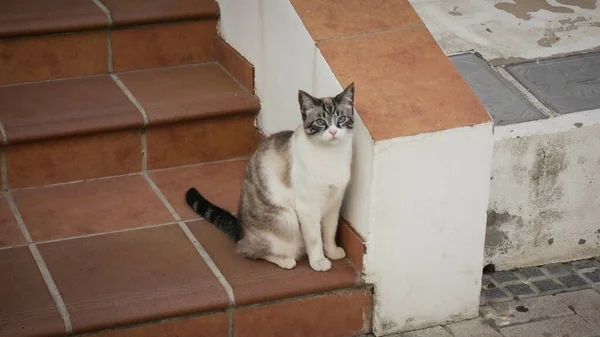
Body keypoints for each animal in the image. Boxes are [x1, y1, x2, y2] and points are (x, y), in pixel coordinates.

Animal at [188, 83, 354, 270]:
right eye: (320, 122)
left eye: (341, 119)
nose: (333, 132)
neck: (331, 155)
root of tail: (240, 231)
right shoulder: (308, 208)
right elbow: (315, 240)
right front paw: (319, 262)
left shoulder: (334, 203)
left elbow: (329, 233)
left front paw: (332, 253)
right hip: (287, 219)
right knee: (248, 250)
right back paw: (285, 260)